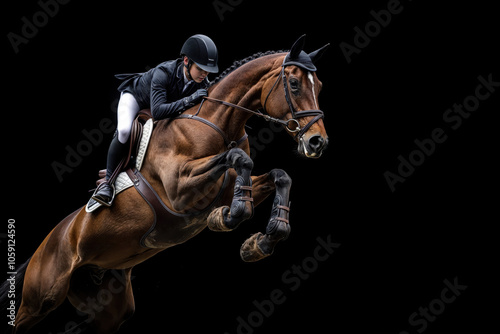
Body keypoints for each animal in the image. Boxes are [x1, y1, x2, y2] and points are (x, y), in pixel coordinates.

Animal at [4, 35, 332, 332]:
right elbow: (237, 159)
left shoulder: (227, 187)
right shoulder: (180, 191)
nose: (317, 142)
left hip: (107, 303)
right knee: (23, 319)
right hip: (40, 299)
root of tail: (46, 243)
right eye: (294, 84)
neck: (219, 126)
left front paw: (262, 241)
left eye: (319, 86)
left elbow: (280, 175)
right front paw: (229, 217)